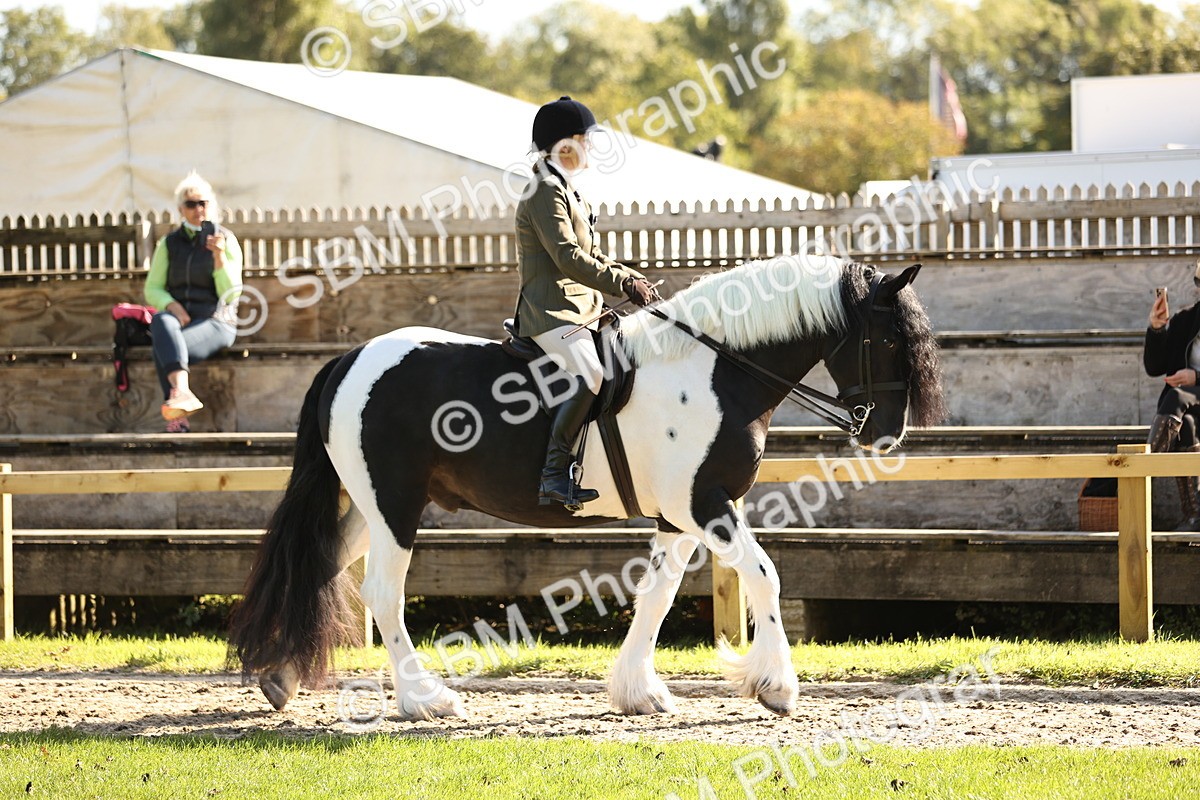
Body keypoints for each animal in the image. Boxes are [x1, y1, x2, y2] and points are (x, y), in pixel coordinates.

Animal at [229, 254, 945, 720]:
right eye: (887, 339)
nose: (887, 434)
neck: (715, 369)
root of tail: (351, 359)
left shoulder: (680, 517)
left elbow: (657, 594)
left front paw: (638, 692)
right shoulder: (705, 506)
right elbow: (764, 575)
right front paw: (775, 687)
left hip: (366, 507)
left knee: (320, 565)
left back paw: (278, 677)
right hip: (394, 506)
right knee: (382, 591)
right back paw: (424, 699)